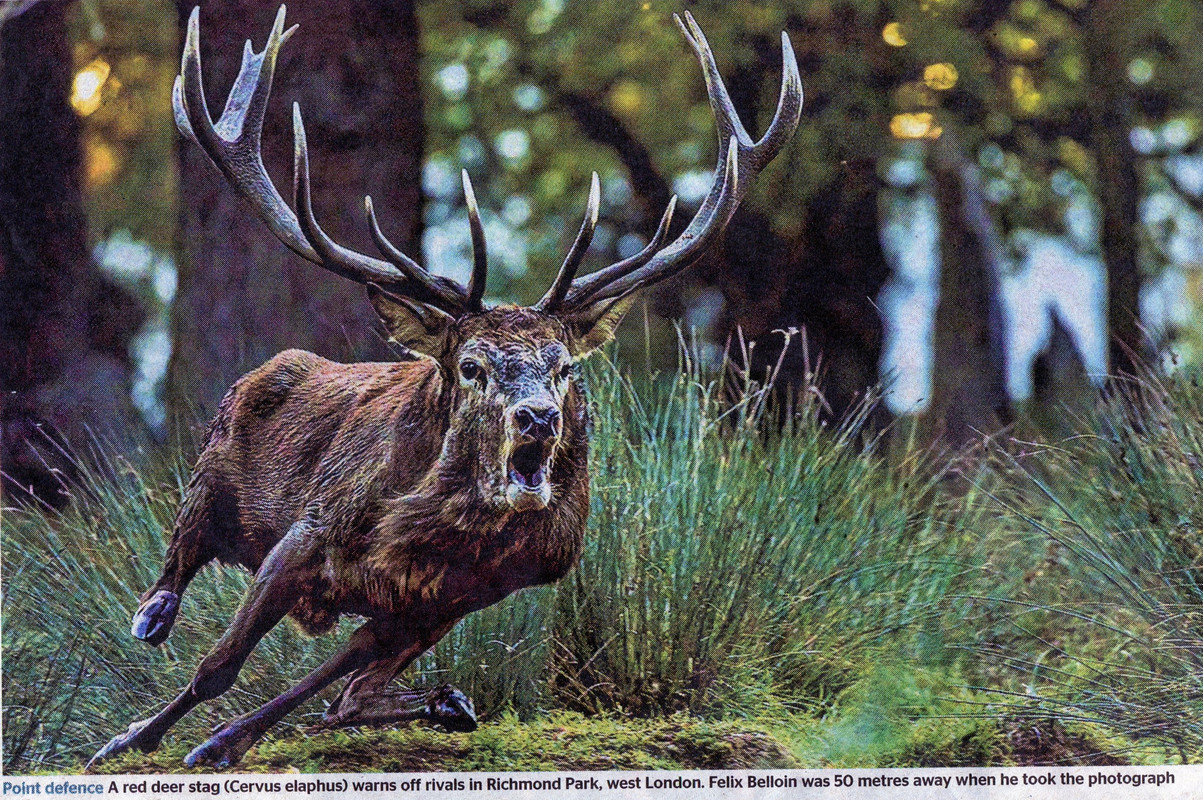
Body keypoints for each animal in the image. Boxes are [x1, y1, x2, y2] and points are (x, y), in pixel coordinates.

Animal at [87, 5, 801, 770]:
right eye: (471, 366)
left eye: (564, 366)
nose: (538, 418)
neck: (428, 538)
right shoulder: (310, 530)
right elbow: (219, 664)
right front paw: (126, 742)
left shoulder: (446, 601)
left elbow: (341, 687)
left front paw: (223, 742)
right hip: (215, 465)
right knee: (186, 548)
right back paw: (154, 617)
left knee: (348, 685)